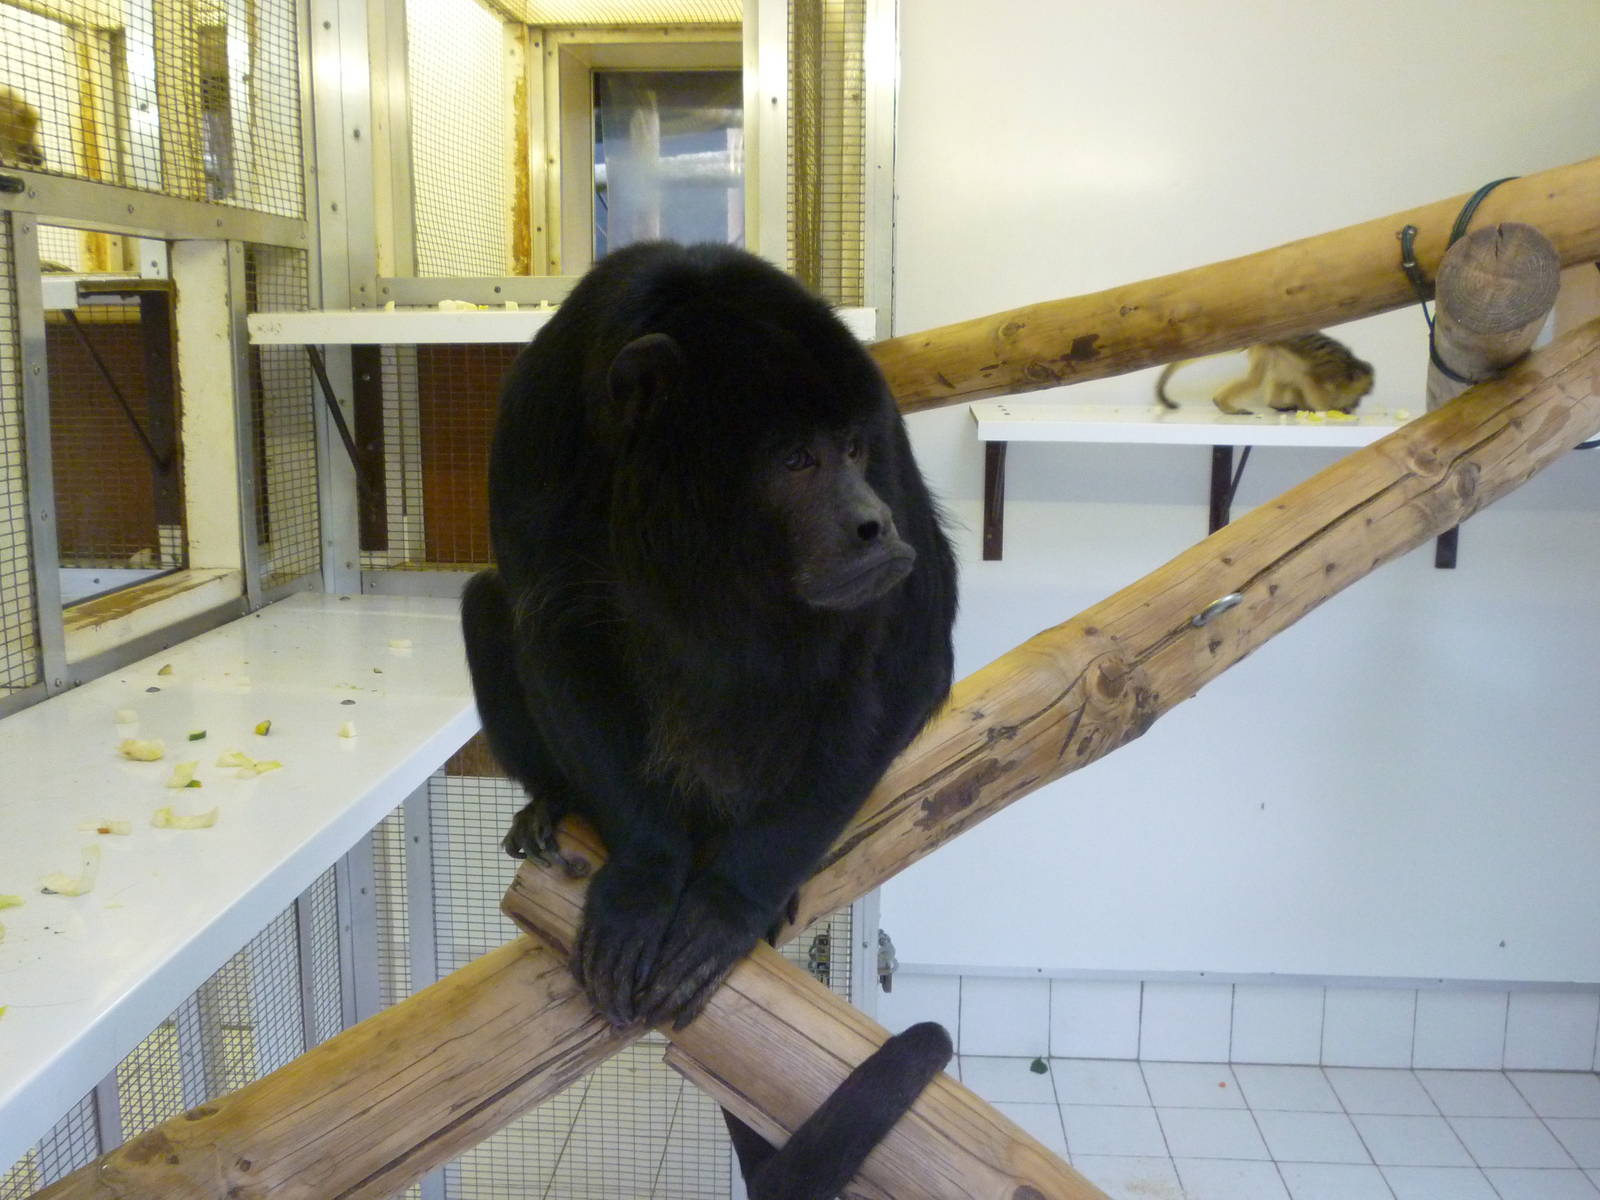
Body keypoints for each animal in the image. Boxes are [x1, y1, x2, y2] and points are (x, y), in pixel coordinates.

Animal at [1156, 332, 1374, 415]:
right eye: (1362, 395)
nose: (1357, 404)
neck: (1347, 367)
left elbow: (1298, 379)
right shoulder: (1331, 372)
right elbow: (1309, 379)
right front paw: (1327, 410)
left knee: (1283, 375)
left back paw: (1276, 404)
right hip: (1265, 347)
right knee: (1255, 380)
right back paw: (1223, 403)